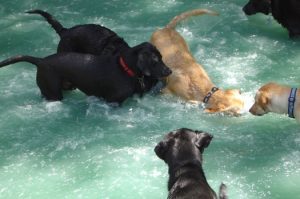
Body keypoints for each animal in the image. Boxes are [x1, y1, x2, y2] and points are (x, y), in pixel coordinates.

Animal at [0, 43, 171, 103]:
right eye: (155, 60)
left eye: (162, 57)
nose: (169, 71)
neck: (124, 69)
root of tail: (40, 61)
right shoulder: (113, 101)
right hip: (54, 92)